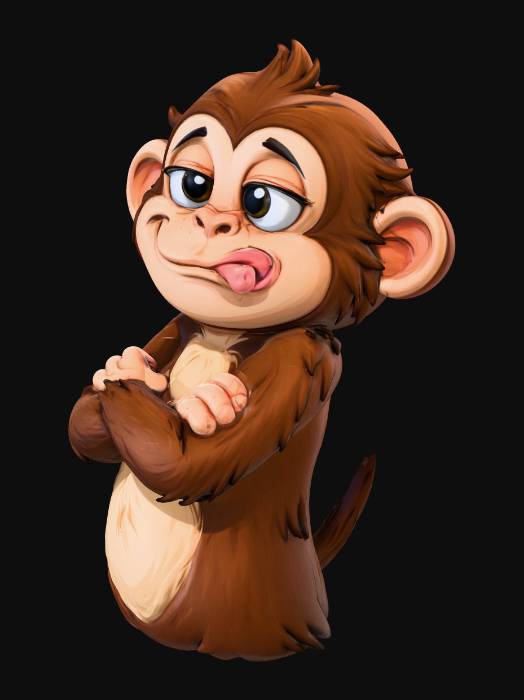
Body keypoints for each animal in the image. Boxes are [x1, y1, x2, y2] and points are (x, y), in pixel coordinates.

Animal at [68, 39, 455, 662]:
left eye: (262, 202)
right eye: (191, 184)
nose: (209, 220)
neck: (222, 334)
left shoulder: (306, 357)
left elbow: (183, 463)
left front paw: (198, 404)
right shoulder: (179, 324)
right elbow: (86, 418)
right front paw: (120, 374)